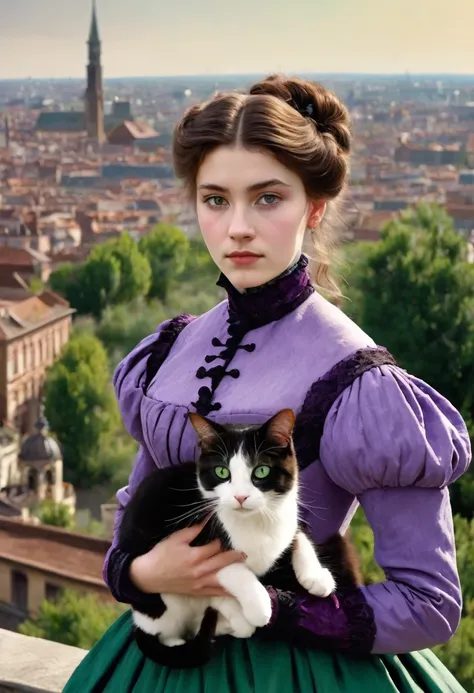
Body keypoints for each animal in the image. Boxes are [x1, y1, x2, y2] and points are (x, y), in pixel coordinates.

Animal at [117, 408, 360, 668]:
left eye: (261, 471)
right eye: (222, 472)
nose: (240, 497)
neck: (258, 521)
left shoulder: (289, 516)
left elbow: (298, 534)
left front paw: (317, 577)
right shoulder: (195, 543)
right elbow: (232, 569)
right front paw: (260, 606)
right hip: (164, 597)